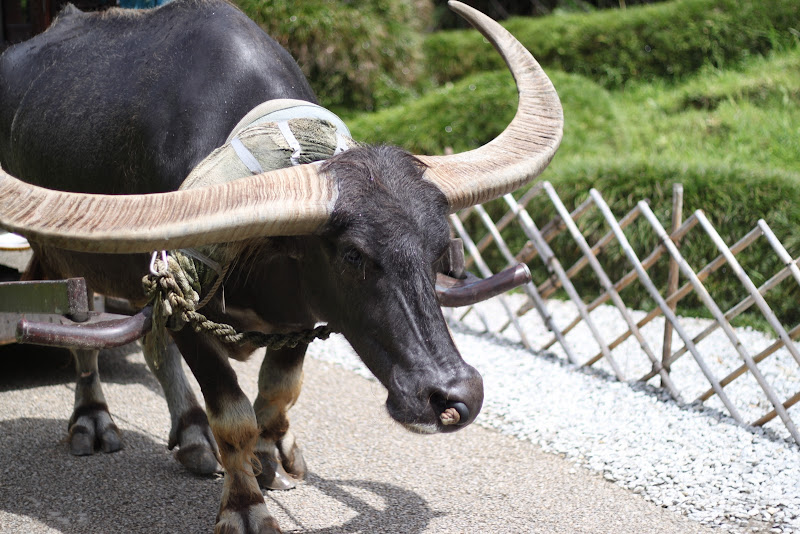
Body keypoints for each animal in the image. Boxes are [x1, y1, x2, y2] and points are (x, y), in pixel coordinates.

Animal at [0, 0, 562, 532]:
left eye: (438, 248)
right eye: (353, 255)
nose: (453, 394)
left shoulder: (300, 315)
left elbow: (275, 396)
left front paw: (268, 461)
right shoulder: (183, 300)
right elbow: (233, 414)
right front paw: (245, 507)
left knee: (151, 345)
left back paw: (193, 436)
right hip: (62, 257)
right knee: (82, 332)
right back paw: (93, 422)